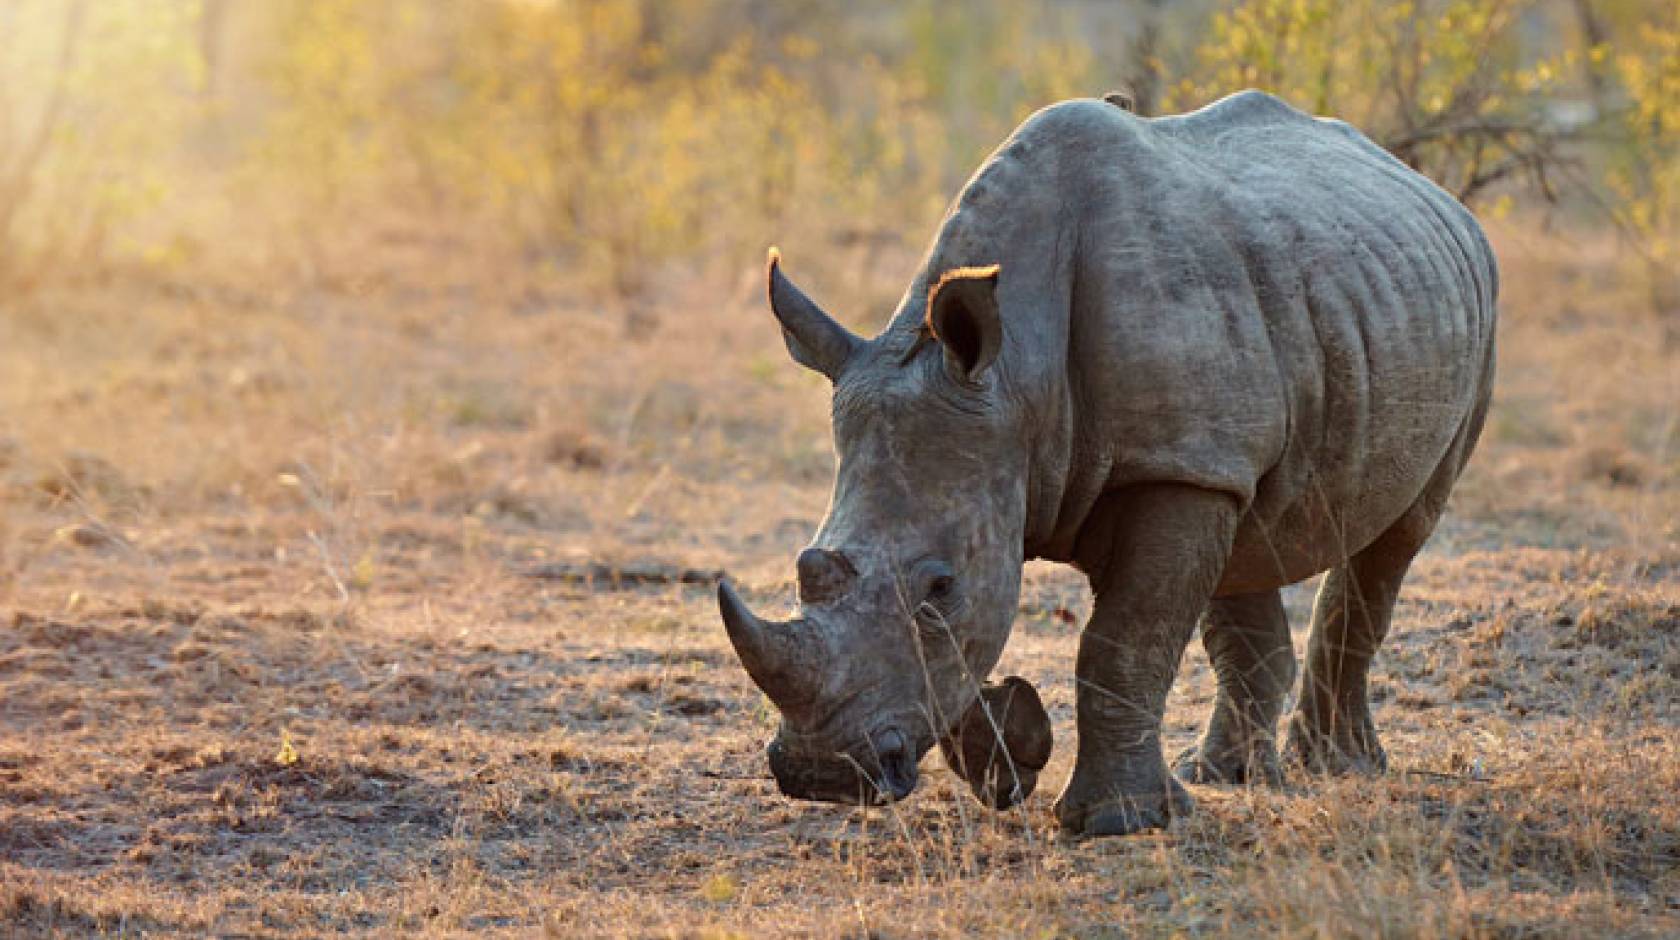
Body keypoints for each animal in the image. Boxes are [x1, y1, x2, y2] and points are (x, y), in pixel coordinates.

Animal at [719, 89, 1498, 835]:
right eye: (806, 570)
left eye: (939, 587)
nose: (820, 775)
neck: (1014, 379)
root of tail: (1435, 193)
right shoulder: (1064, 458)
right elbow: (987, 642)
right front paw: (1012, 752)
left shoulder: (1170, 466)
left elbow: (1121, 644)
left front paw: (1117, 822)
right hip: (1292, 334)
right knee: (1248, 536)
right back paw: (1228, 777)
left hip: (1467, 314)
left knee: (1398, 535)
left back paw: (1340, 768)